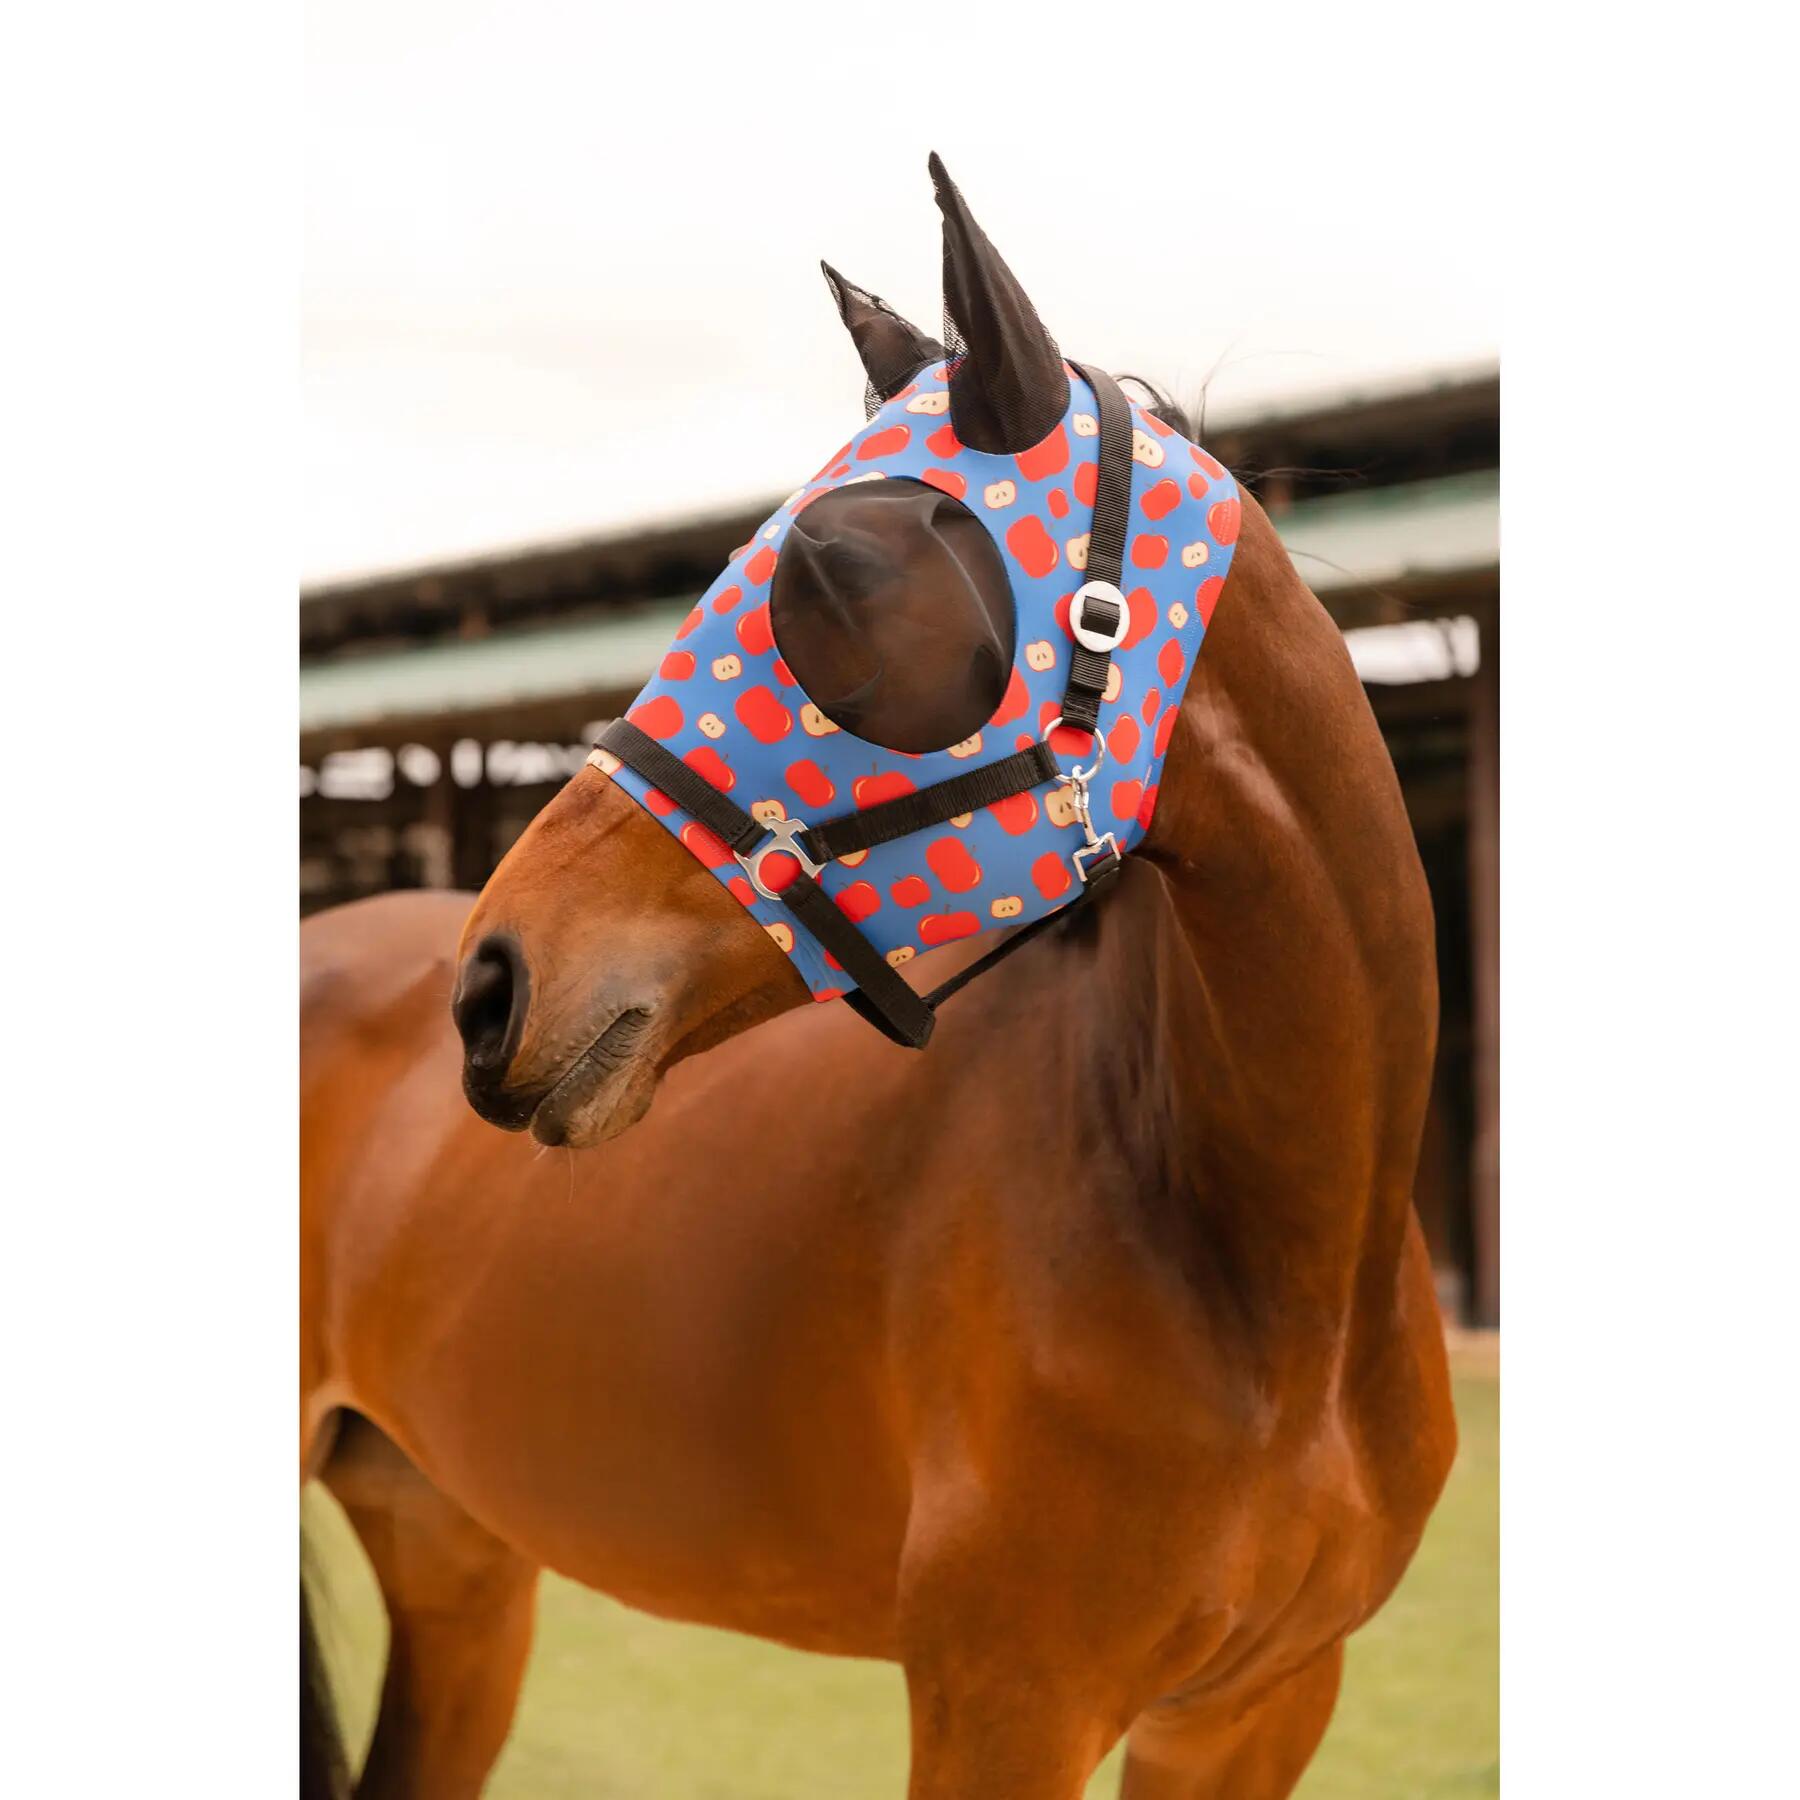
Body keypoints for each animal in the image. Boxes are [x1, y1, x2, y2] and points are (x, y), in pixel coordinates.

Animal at [300, 158, 1456, 1799]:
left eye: (833, 572)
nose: (492, 990)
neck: (1283, 1281)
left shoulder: (1256, 1712)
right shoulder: (1004, 1705)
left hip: (458, 1556)